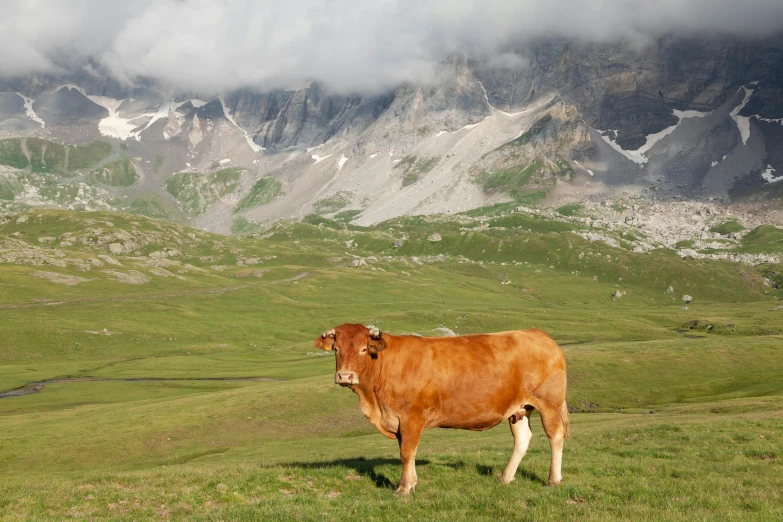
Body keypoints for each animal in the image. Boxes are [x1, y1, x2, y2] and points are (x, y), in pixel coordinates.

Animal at [312, 320, 568, 492]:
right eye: (336, 349)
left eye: (363, 349)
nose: (345, 376)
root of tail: (538, 334)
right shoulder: (399, 420)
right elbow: (408, 451)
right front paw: (412, 483)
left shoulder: (411, 417)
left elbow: (407, 452)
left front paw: (403, 488)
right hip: (519, 409)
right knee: (522, 439)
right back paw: (505, 478)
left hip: (549, 403)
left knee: (555, 436)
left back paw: (553, 480)